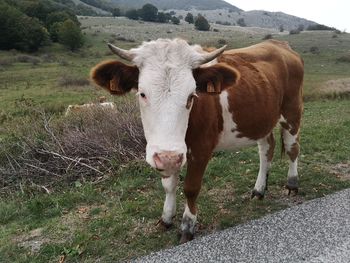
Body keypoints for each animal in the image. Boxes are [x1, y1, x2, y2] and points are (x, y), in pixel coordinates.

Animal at [91, 38, 304, 244]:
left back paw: (292, 184)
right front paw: (166, 218)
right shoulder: (169, 153)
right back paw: (259, 190)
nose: (168, 158)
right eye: (142, 94)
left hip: (292, 112)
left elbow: (191, 188)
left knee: (292, 149)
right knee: (266, 149)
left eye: (191, 96)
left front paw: (188, 226)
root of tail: (279, 44)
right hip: (262, 120)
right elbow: (169, 185)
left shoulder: (201, 149)